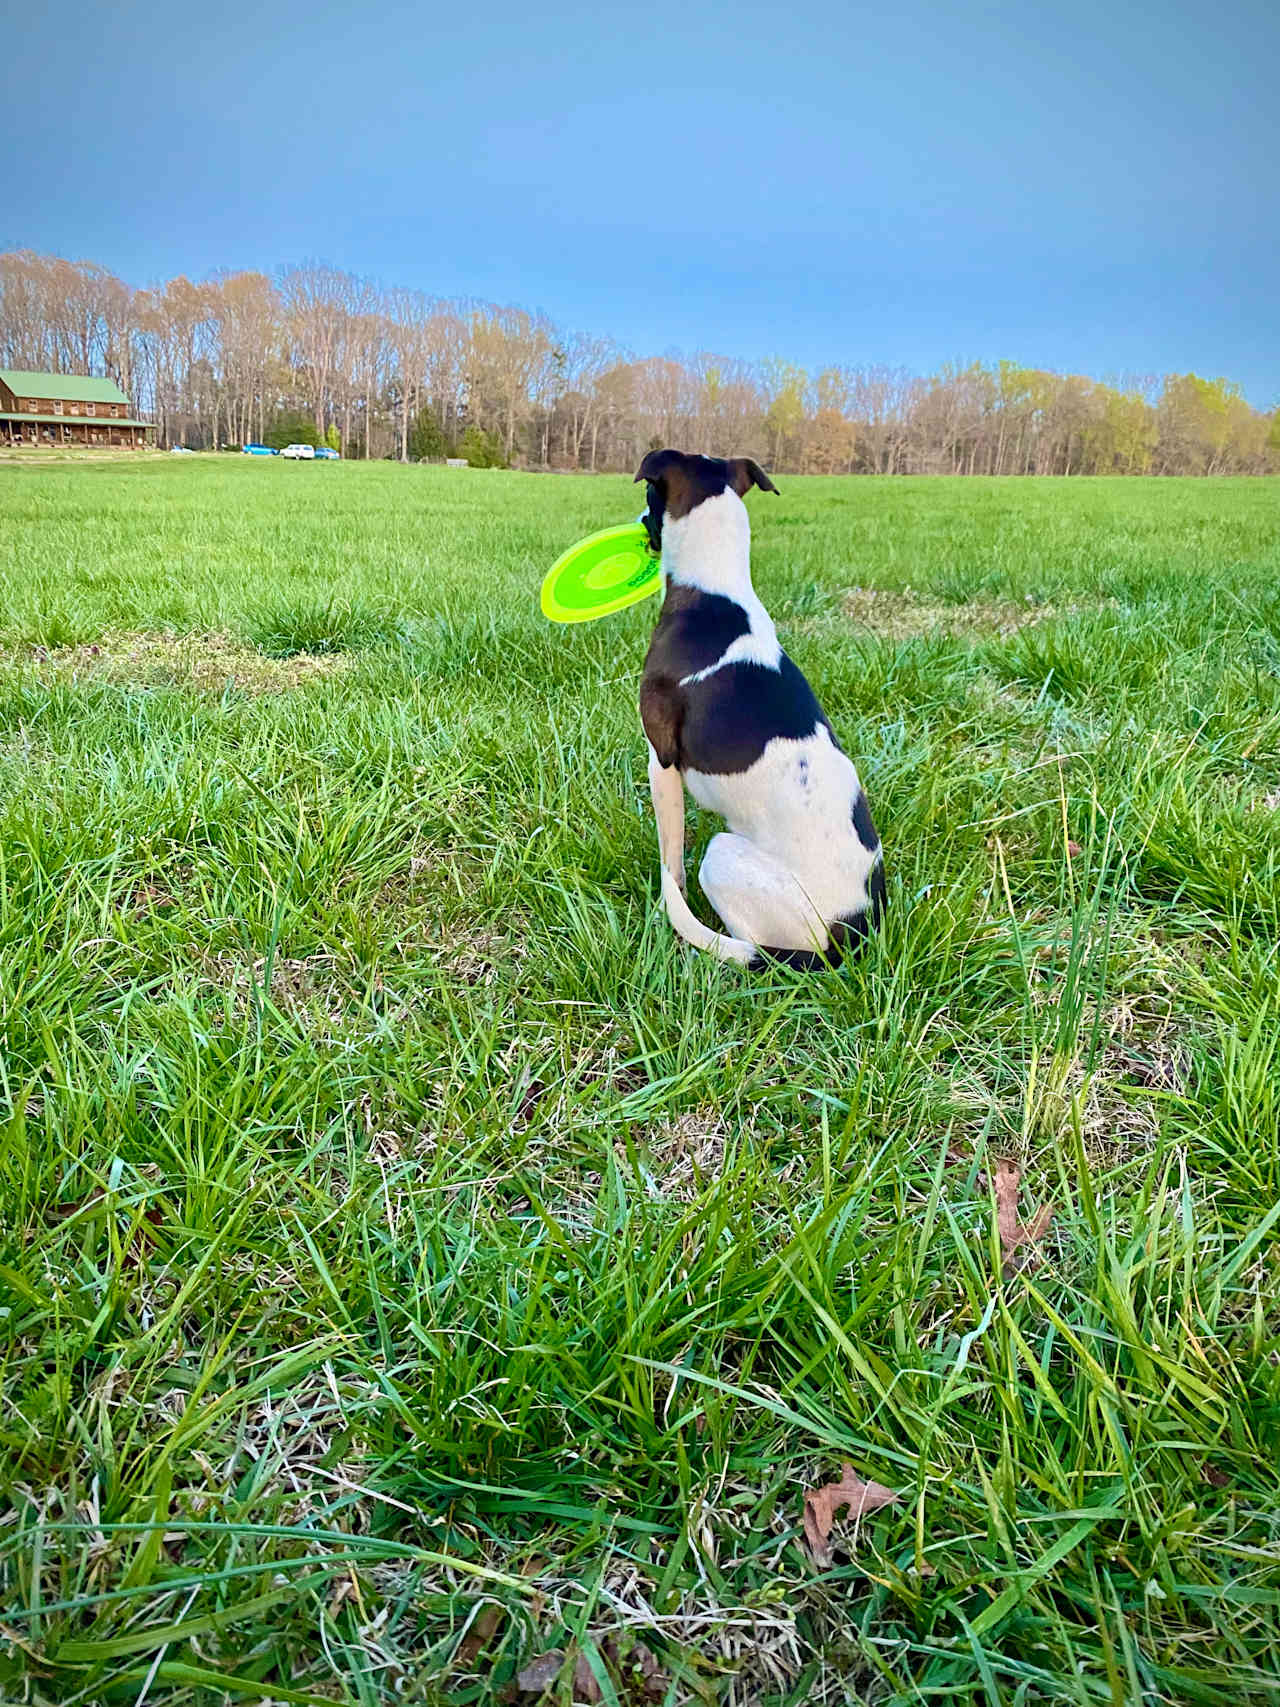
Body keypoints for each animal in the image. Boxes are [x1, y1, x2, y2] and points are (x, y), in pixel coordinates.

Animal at [638, 447, 887, 969]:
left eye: (648, 496)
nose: (638, 524)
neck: (717, 592)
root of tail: (851, 933)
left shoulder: (661, 761)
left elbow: (671, 855)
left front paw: (669, 898)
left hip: (723, 856)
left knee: (751, 945)